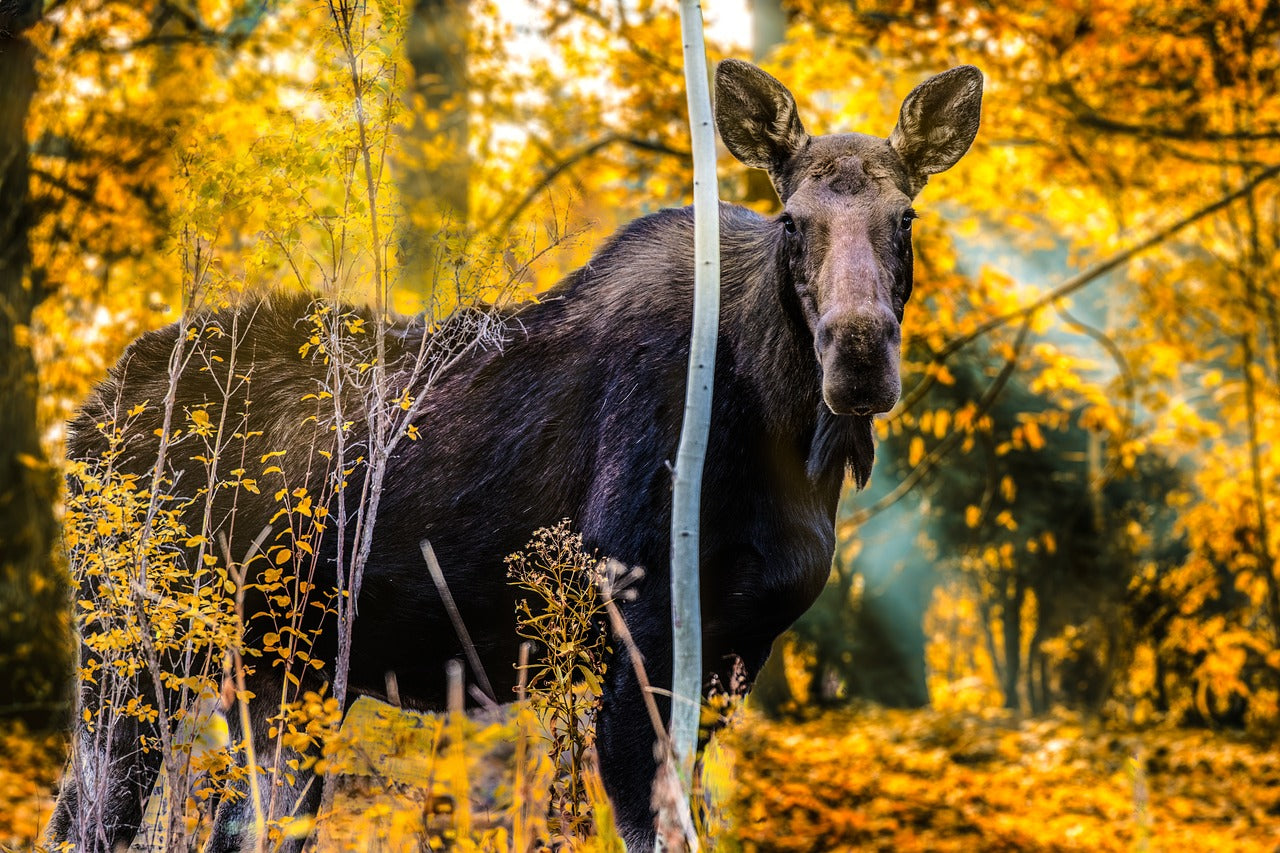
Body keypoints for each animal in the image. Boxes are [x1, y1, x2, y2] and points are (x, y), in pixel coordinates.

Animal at [49, 61, 977, 850]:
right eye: (794, 223)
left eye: (905, 218)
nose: (858, 356)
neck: (788, 443)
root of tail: (83, 418)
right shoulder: (634, 626)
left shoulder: (737, 649)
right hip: (130, 638)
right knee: (84, 816)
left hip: (284, 667)